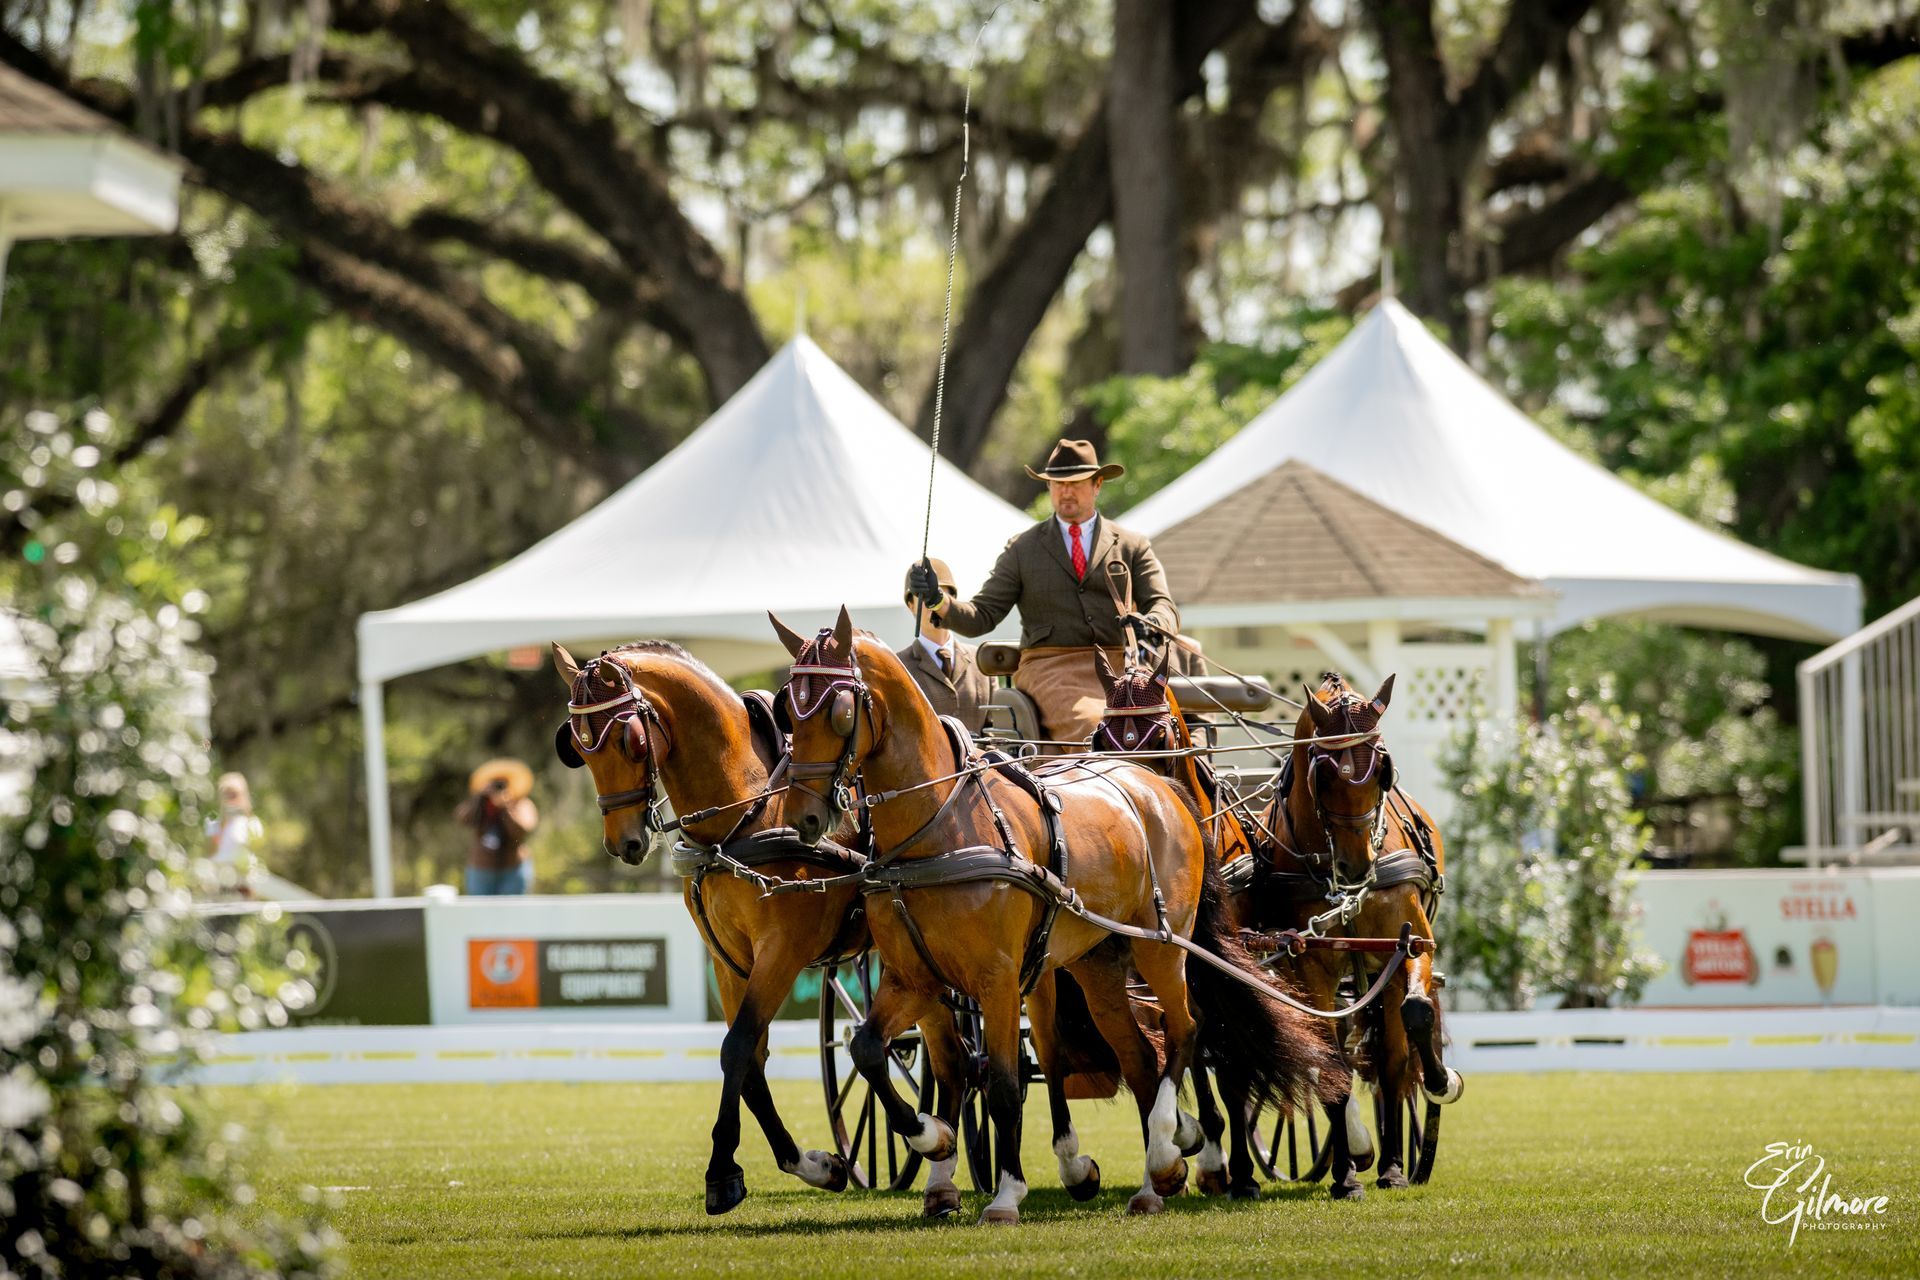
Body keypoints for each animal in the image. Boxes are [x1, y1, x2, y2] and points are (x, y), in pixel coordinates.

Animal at [552, 644, 875, 1220]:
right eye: (578, 749)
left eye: (631, 741)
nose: (624, 843)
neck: (747, 811)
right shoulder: (729, 960)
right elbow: (748, 1061)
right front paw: (814, 1165)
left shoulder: (783, 951)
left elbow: (737, 1047)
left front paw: (721, 1172)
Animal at [768, 614, 1336, 1228]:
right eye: (786, 711)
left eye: (839, 710)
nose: (803, 818)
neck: (939, 826)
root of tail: (1162, 789)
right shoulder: (913, 978)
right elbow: (871, 1050)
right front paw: (934, 1139)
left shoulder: (996, 979)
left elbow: (1003, 1083)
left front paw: (1005, 1194)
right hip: (1096, 963)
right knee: (1141, 1057)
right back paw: (1152, 1183)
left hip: (1162, 946)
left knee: (1187, 1030)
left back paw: (1170, 1150)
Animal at [1251, 675, 1459, 1197]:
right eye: (1324, 776)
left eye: (1382, 769)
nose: (1357, 866)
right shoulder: (1312, 969)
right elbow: (1329, 1060)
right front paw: (1345, 1175)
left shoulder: (1408, 948)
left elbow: (1413, 1021)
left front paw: (1438, 1082)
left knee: (1392, 1049)